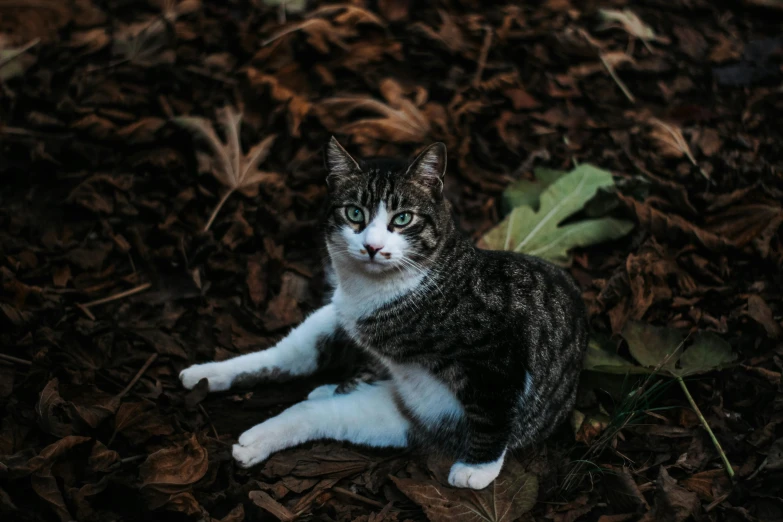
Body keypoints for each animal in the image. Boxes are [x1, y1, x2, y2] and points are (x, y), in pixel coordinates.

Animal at [181, 137, 588, 488]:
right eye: (354, 213)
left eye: (403, 218)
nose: (373, 246)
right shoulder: (345, 315)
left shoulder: (499, 350)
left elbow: (495, 407)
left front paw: (477, 469)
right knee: (288, 359)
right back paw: (206, 376)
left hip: (416, 414)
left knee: (323, 411)